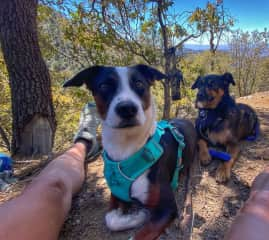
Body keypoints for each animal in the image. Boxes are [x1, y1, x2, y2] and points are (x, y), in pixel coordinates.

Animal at [63, 64, 197, 239]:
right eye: (104, 86)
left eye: (139, 83)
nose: (127, 108)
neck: (126, 148)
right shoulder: (116, 192)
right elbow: (111, 219)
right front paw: (136, 215)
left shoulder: (168, 208)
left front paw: (140, 215)